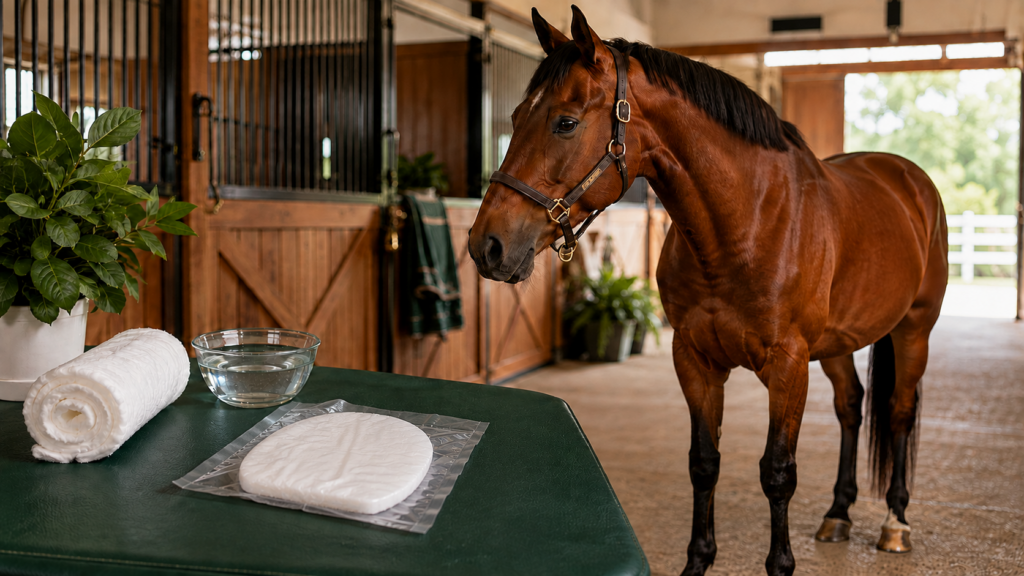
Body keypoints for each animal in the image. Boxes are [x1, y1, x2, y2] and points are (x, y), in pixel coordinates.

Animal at [467, 6, 948, 576]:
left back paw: (895, 523)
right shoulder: (694, 359)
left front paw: (781, 563)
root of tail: (907, 177)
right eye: (517, 117)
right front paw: (698, 560)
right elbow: (704, 462)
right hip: (838, 343)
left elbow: (777, 472)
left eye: (565, 122)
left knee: (898, 413)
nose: (486, 245)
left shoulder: (787, 367)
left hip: (913, 331)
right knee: (851, 407)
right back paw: (838, 514)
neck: (746, 221)